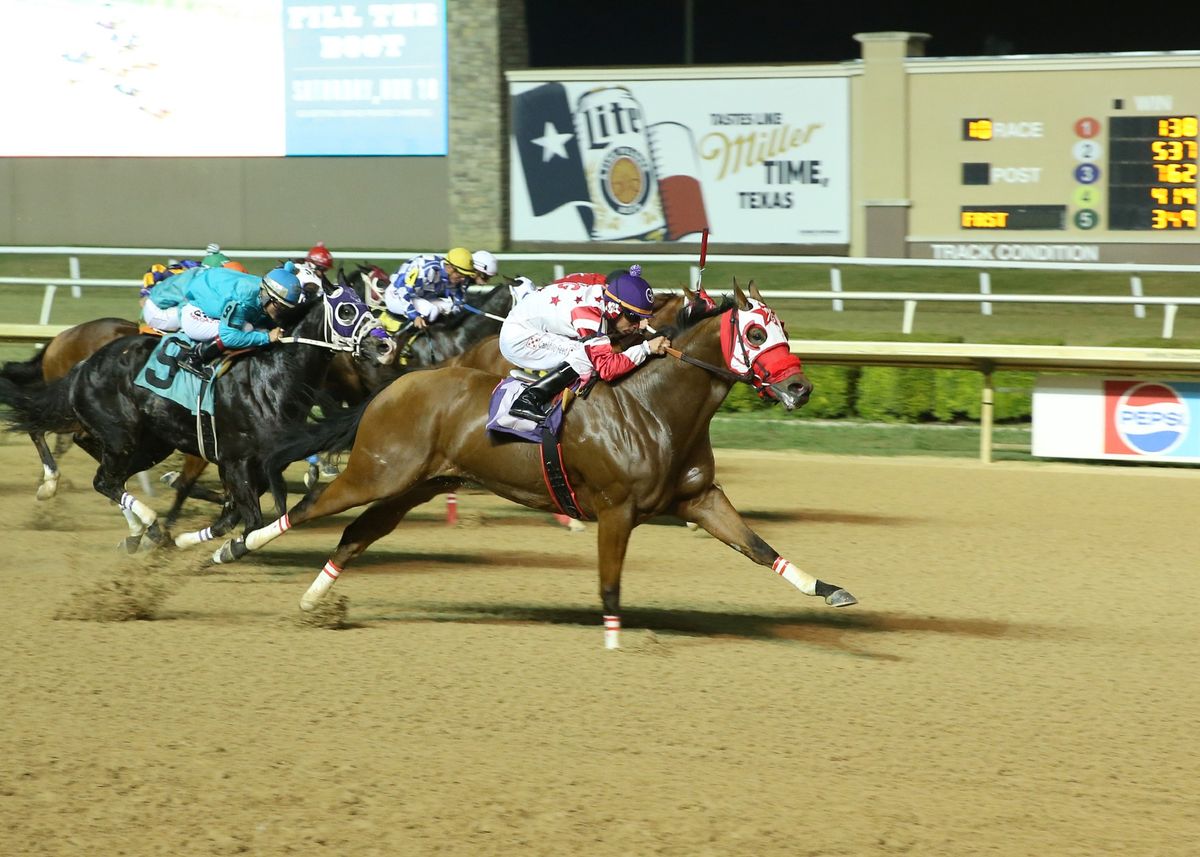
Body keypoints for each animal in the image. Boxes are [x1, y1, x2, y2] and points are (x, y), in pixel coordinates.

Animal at [0, 277, 396, 549]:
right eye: (346, 310)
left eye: (368, 307)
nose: (386, 345)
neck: (269, 377)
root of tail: (84, 362)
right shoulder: (236, 459)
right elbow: (249, 519)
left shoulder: (260, 464)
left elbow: (233, 515)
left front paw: (189, 538)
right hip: (121, 432)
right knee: (101, 477)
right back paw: (136, 519)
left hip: (148, 441)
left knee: (102, 465)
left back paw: (139, 528)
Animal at [213, 280, 854, 648]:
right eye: (755, 331)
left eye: (785, 329)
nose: (800, 388)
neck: (654, 406)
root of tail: (395, 386)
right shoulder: (616, 510)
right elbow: (610, 584)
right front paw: (617, 644)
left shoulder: (699, 498)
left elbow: (759, 547)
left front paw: (828, 589)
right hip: (377, 471)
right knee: (307, 507)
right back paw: (228, 546)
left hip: (419, 484)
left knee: (356, 533)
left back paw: (312, 602)